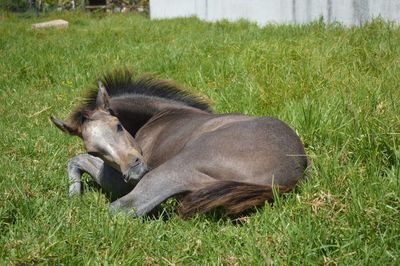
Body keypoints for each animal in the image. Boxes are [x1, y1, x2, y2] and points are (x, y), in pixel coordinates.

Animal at [51, 69, 310, 217]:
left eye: (118, 125)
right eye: (94, 148)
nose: (135, 173)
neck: (159, 115)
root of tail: (290, 176)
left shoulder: (119, 181)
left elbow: (77, 160)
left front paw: (73, 194)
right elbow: (79, 159)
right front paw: (74, 192)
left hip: (174, 169)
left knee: (122, 209)